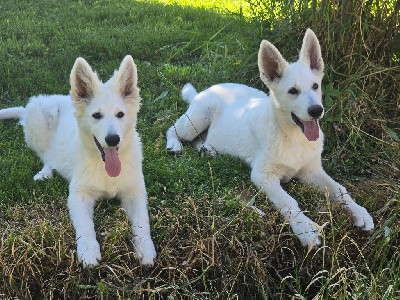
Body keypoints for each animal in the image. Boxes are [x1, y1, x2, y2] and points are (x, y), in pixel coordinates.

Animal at [0, 55, 156, 266]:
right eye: (96, 115)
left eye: (120, 115)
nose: (113, 139)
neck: (104, 168)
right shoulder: (79, 194)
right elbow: (85, 225)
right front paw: (88, 251)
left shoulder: (135, 192)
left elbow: (142, 222)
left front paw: (145, 248)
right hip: (42, 117)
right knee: (46, 155)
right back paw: (45, 172)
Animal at [166, 29, 376, 247]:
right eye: (293, 91)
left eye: (315, 86)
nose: (316, 111)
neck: (293, 137)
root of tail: (207, 89)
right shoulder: (263, 175)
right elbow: (288, 201)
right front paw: (306, 228)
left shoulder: (312, 171)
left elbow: (339, 189)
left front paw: (359, 212)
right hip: (197, 119)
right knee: (173, 129)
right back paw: (174, 145)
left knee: (200, 139)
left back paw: (207, 150)